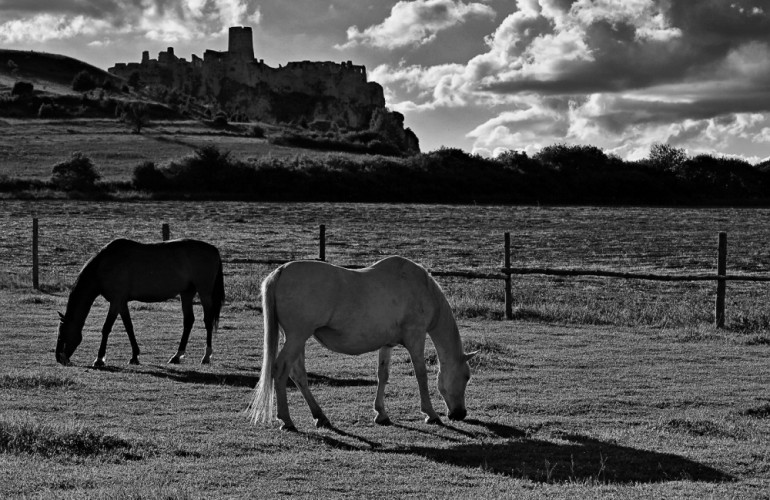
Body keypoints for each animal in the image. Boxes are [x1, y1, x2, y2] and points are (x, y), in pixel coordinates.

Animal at [55, 238, 224, 368]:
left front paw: (99, 359)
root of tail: (213, 249)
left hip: (204, 292)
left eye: (63, 332)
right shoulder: (122, 302)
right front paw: (134, 356)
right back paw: (177, 356)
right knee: (188, 321)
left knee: (207, 321)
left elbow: (106, 328)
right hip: (187, 293)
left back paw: (206, 356)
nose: (59, 358)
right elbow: (129, 327)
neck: (105, 264)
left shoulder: (116, 301)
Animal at [246, 256, 474, 432]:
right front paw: (430, 414)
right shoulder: (415, 338)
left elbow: (383, 375)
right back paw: (286, 420)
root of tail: (281, 271)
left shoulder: (387, 344)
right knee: (281, 369)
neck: (420, 287)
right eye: (466, 376)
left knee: (298, 374)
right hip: (297, 336)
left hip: (296, 338)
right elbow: (421, 375)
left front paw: (381, 414)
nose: (460, 414)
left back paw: (320, 417)